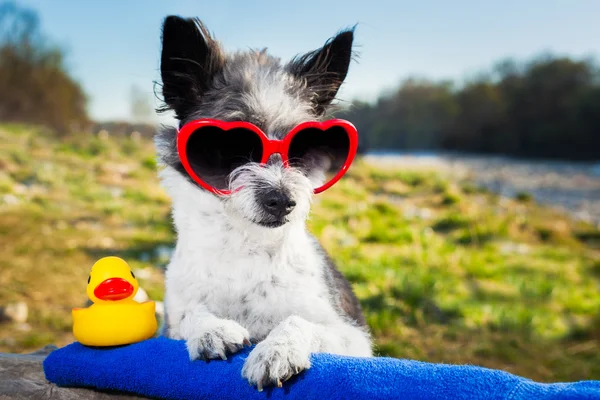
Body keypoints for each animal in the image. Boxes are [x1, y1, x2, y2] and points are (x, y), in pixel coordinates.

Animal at [155, 16, 370, 390]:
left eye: (301, 150)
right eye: (229, 147)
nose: (283, 201)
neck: (246, 250)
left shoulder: (353, 338)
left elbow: (298, 321)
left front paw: (277, 349)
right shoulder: (170, 325)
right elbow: (191, 313)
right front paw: (210, 328)